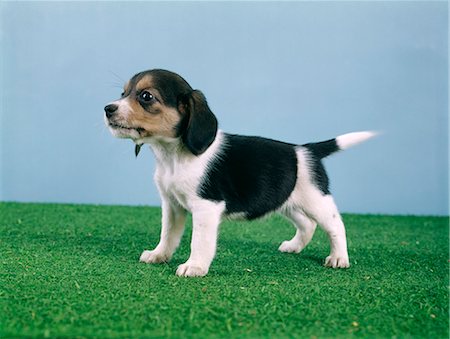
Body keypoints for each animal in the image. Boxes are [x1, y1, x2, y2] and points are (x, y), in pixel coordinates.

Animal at [103, 69, 374, 278]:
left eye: (146, 96)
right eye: (123, 93)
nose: (108, 108)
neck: (172, 156)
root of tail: (307, 150)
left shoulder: (206, 207)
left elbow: (199, 241)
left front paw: (194, 267)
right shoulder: (172, 205)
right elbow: (168, 234)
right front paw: (159, 255)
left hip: (316, 200)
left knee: (336, 226)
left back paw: (339, 258)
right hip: (287, 201)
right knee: (307, 224)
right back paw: (293, 247)